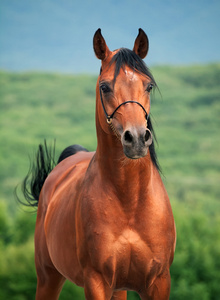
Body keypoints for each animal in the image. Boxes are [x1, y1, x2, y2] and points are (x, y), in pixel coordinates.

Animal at [21, 28, 176, 300]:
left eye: (148, 85)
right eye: (105, 87)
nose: (136, 138)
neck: (130, 201)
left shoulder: (159, 282)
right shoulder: (97, 282)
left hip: (119, 288)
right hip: (48, 277)